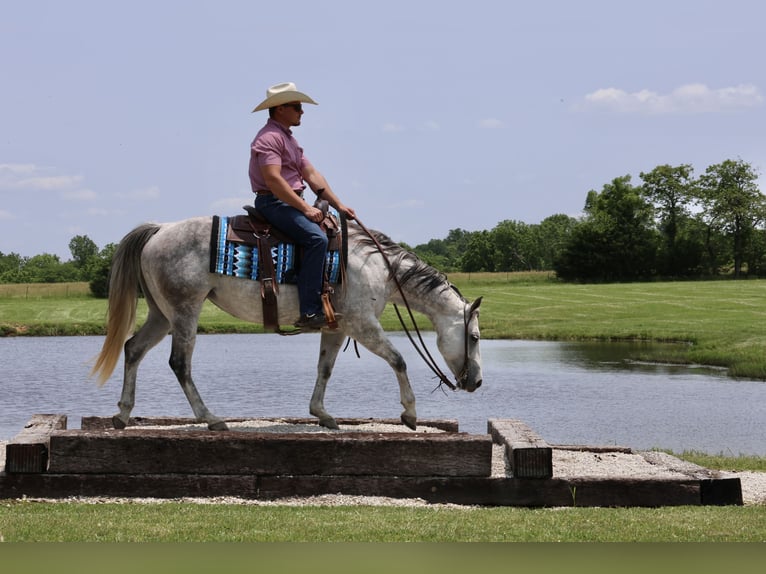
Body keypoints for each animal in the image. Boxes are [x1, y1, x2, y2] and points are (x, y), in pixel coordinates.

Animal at [90, 215, 483, 431]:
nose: (477, 382)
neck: (375, 266)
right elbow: (399, 360)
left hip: (162, 314)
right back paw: (211, 418)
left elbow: (325, 369)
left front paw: (322, 414)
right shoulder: (362, 324)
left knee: (133, 348)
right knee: (179, 363)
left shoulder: (337, 327)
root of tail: (160, 230)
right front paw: (410, 413)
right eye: (475, 337)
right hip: (185, 311)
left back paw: (123, 414)